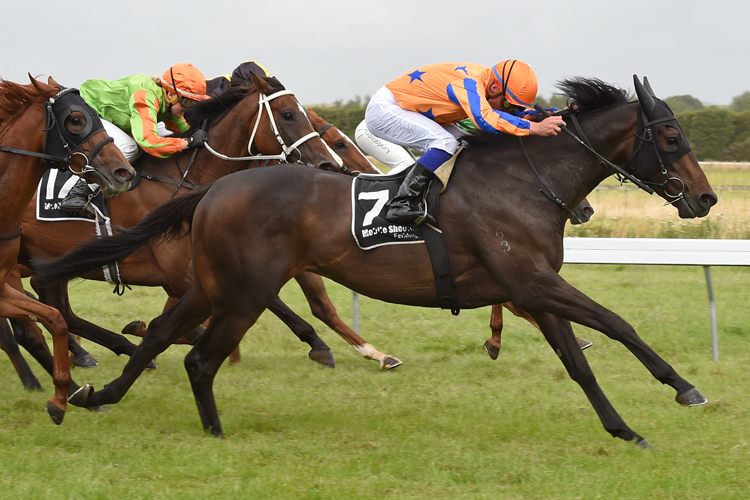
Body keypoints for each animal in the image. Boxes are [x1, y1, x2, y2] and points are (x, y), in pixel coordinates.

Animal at [35, 75, 724, 446]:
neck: (525, 181)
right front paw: (685, 388)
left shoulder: (531, 286)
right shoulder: (532, 280)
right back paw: (213, 431)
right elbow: (616, 323)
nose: (706, 197)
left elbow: (578, 362)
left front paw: (624, 429)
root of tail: (216, 189)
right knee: (199, 358)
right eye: (670, 136)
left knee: (158, 338)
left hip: (211, 285)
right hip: (243, 291)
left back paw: (97, 395)